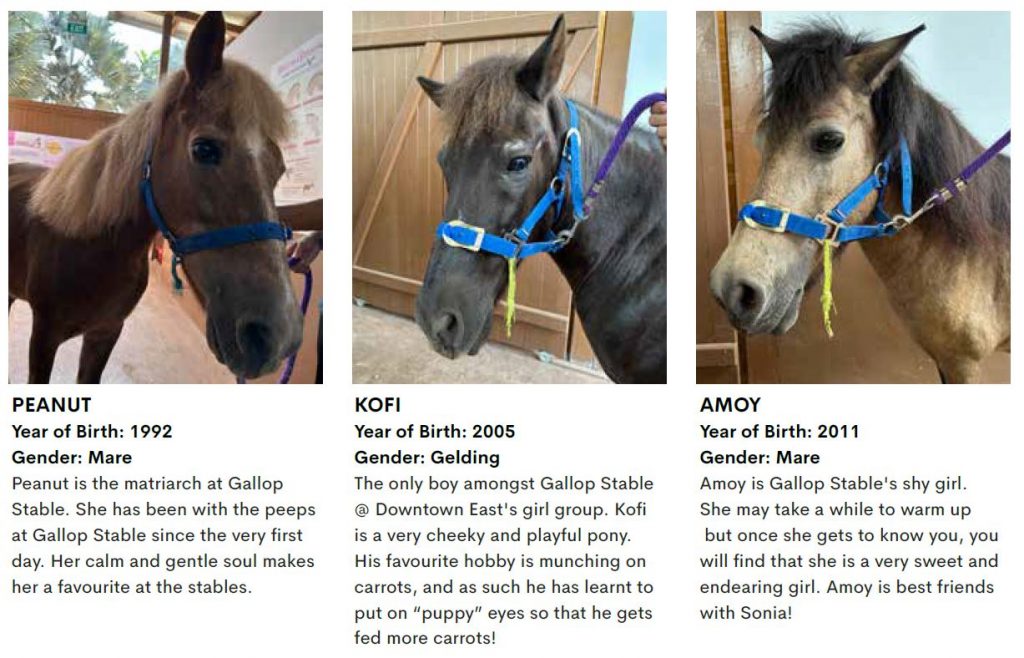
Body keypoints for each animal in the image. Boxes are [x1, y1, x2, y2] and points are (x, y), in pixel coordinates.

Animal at [9, 11, 303, 383]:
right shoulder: (44, 338)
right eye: (204, 149)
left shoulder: (105, 333)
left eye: (279, 167)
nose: (278, 339)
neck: (92, 244)